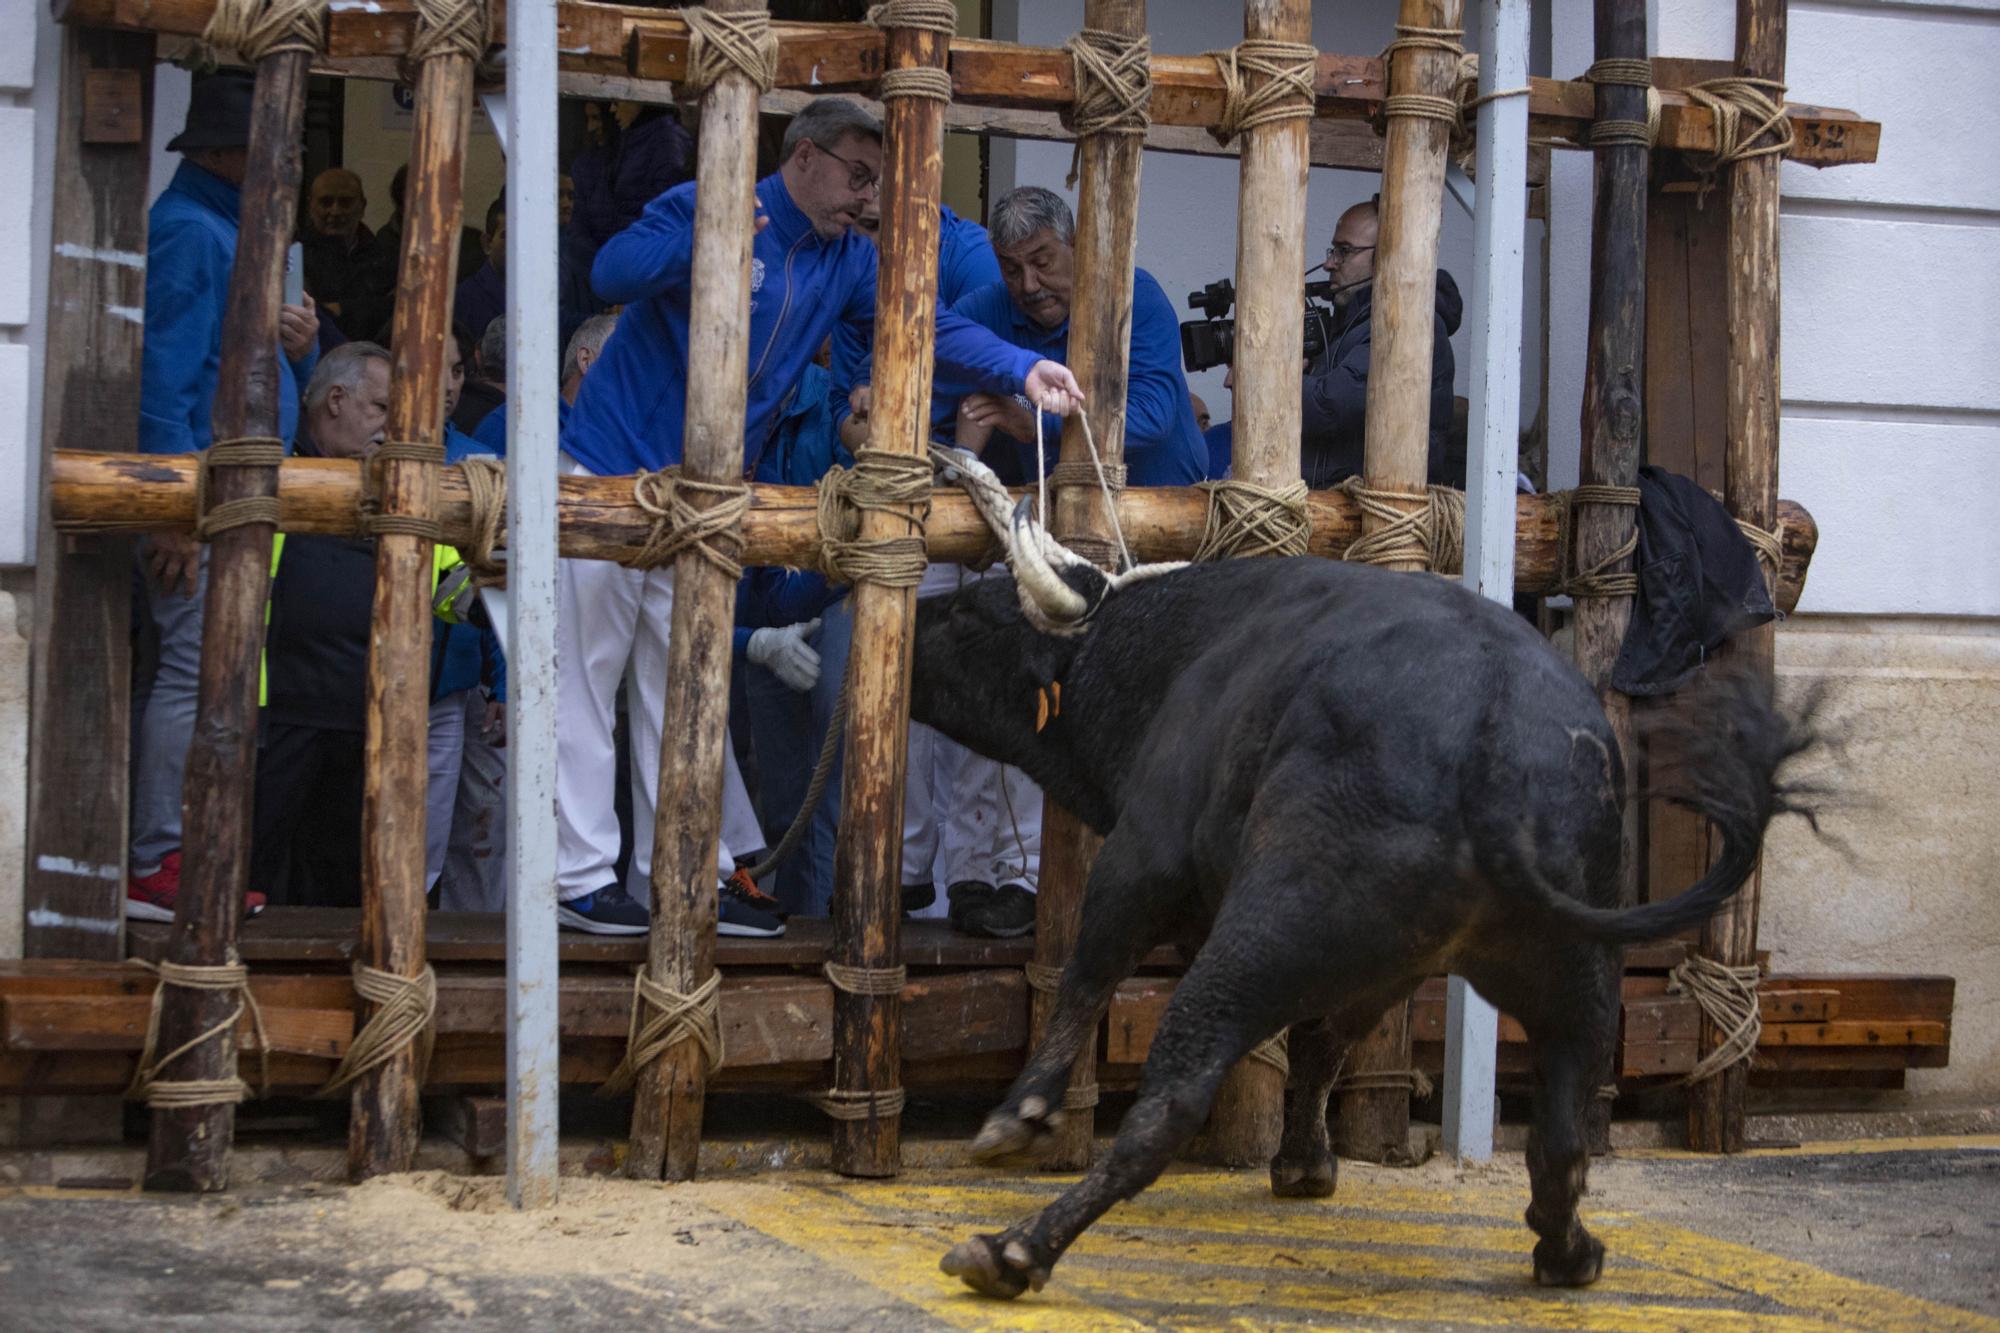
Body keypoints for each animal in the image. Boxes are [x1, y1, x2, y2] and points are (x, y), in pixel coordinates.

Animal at [908, 528, 1816, 1296]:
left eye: (967, 612)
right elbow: (1320, 1043)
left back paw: (1014, 1248)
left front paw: (1018, 1116)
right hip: (1577, 978)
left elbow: (1087, 979)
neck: (1172, 649)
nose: (911, 619)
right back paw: (1571, 1252)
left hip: (1264, 935)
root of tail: (1498, 739)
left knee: (1170, 1098)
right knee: (1559, 1135)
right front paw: (1306, 1163)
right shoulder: (1382, 971)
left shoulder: (1141, 857)